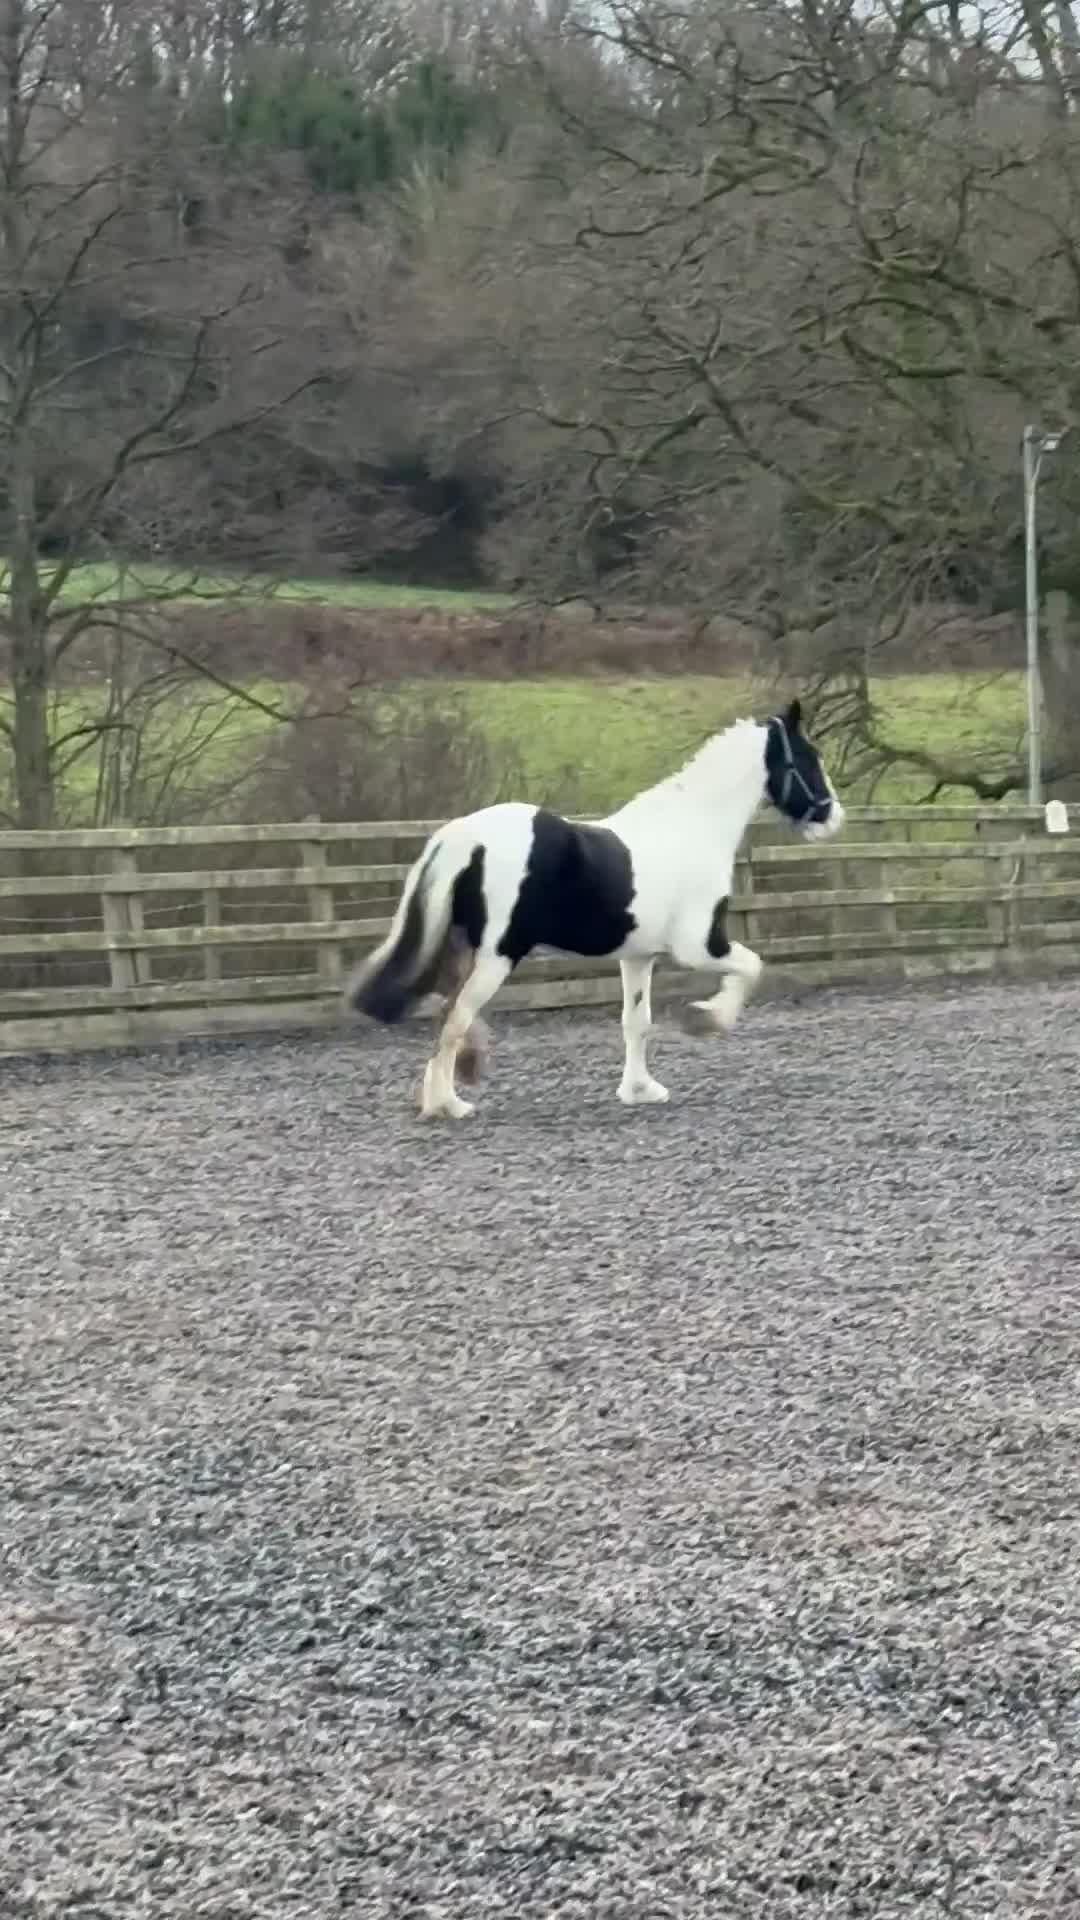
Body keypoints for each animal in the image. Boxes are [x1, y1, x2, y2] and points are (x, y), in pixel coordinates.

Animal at [346, 700, 844, 1118]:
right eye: (807, 759)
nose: (834, 818)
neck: (691, 827)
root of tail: (464, 836)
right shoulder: (699, 946)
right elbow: (751, 966)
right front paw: (705, 1020)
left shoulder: (638, 956)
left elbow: (636, 1022)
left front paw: (641, 1090)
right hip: (496, 956)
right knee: (454, 1017)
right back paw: (448, 1104)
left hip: (462, 950)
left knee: (445, 1012)